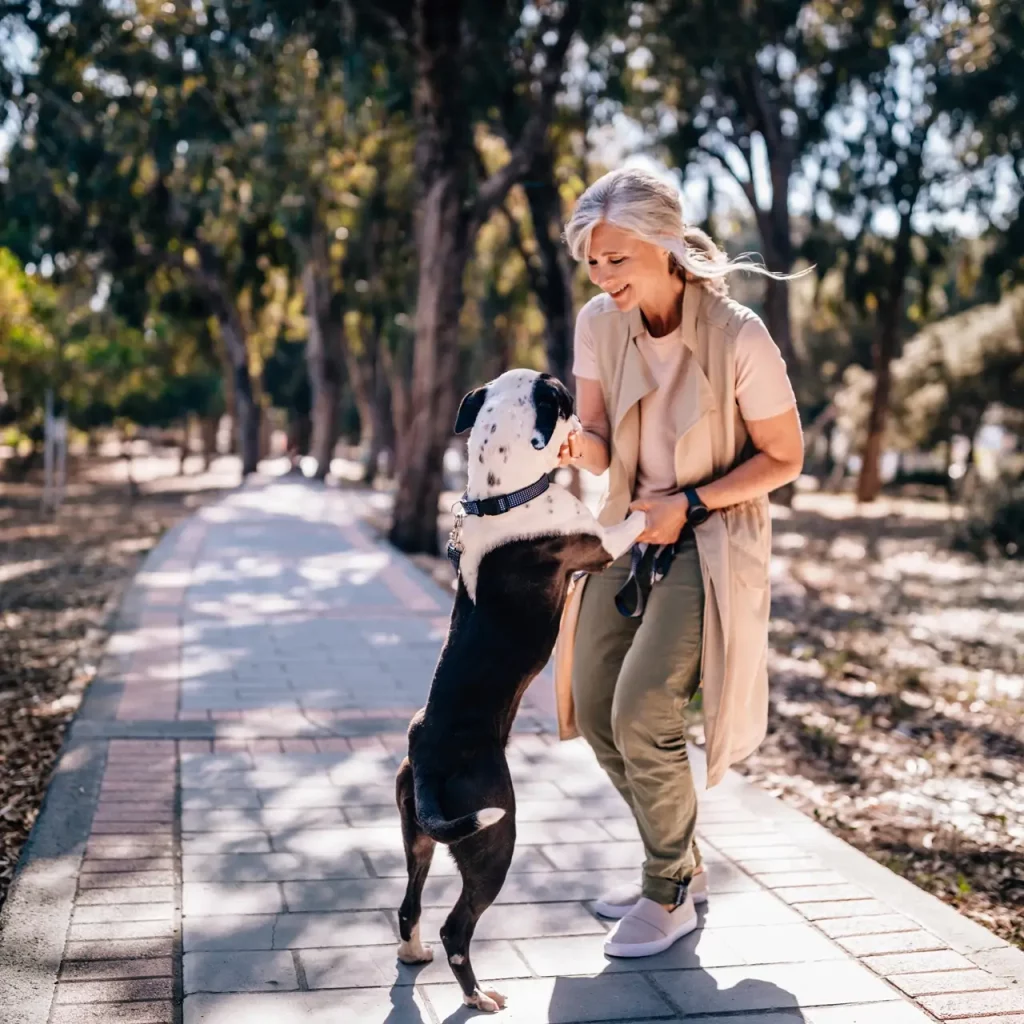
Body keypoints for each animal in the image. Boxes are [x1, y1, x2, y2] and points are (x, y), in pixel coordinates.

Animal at [395, 368, 643, 1007]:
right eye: (563, 398)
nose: (583, 417)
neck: (500, 495)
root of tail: (427, 757)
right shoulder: (599, 545)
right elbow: (629, 520)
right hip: (494, 838)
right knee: (456, 927)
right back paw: (476, 995)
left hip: (418, 836)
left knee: (408, 905)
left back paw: (413, 955)